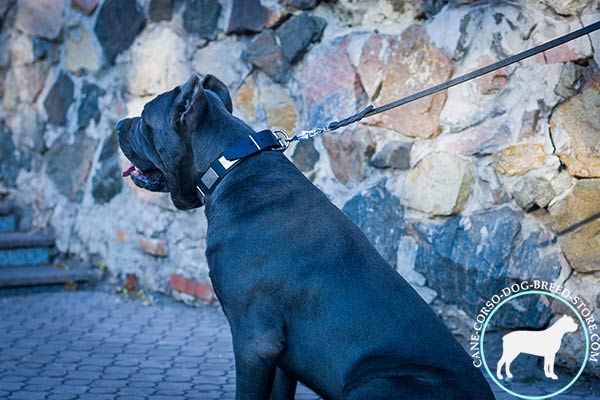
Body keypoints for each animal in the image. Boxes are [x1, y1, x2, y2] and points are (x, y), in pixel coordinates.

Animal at [117, 74, 496, 400]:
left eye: (145, 118)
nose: (120, 124)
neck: (231, 167)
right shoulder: (280, 357)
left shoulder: (254, 339)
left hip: (373, 385)